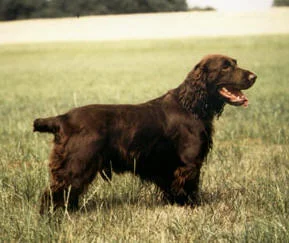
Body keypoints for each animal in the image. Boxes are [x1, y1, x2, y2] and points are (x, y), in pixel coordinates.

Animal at [33, 54, 256, 213]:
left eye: (235, 63)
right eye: (225, 66)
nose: (254, 76)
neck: (191, 105)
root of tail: (63, 118)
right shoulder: (188, 163)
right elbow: (188, 188)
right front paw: (191, 207)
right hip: (77, 163)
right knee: (55, 193)